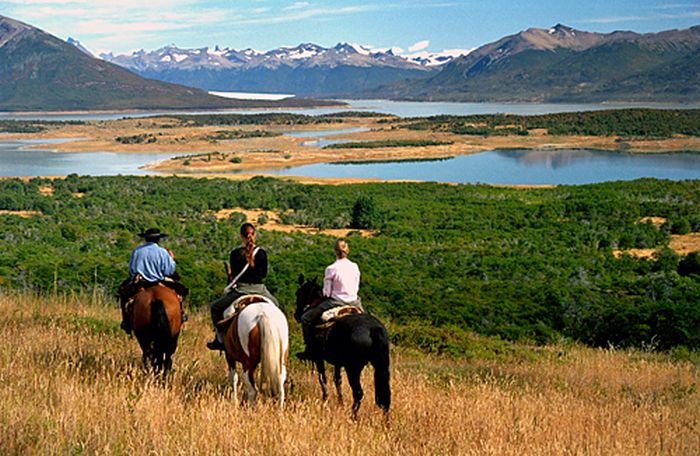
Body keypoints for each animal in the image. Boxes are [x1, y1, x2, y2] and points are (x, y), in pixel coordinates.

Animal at [292, 272, 392, 416]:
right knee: (384, 396)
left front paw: (325, 400)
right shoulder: (338, 362)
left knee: (358, 393)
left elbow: (322, 378)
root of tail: (373, 329)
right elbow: (337, 380)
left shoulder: (318, 357)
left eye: (298, 292)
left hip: (353, 368)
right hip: (380, 365)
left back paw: (353, 416)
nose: (297, 314)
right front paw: (340, 402)